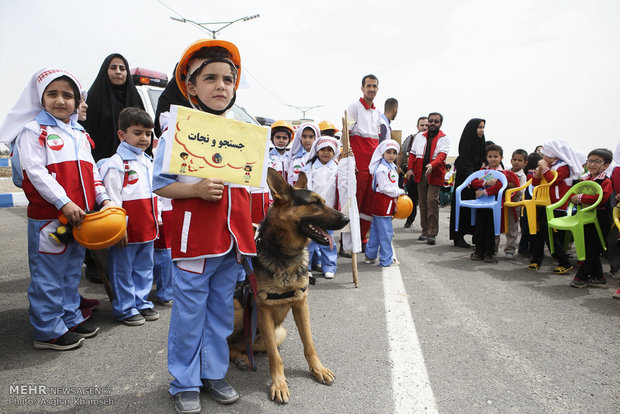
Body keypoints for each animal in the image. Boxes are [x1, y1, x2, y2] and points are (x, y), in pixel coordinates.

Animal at [229, 167, 348, 402]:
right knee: (224, 344)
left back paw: (244, 356)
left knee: (251, 346)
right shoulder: (263, 310)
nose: (347, 218)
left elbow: (309, 344)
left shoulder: (301, 304)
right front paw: (279, 384)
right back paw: (239, 358)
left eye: (324, 201)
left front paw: (318, 369)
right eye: (315, 203)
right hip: (239, 310)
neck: (284, 253)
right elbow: (276, 358)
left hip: (278, 333)